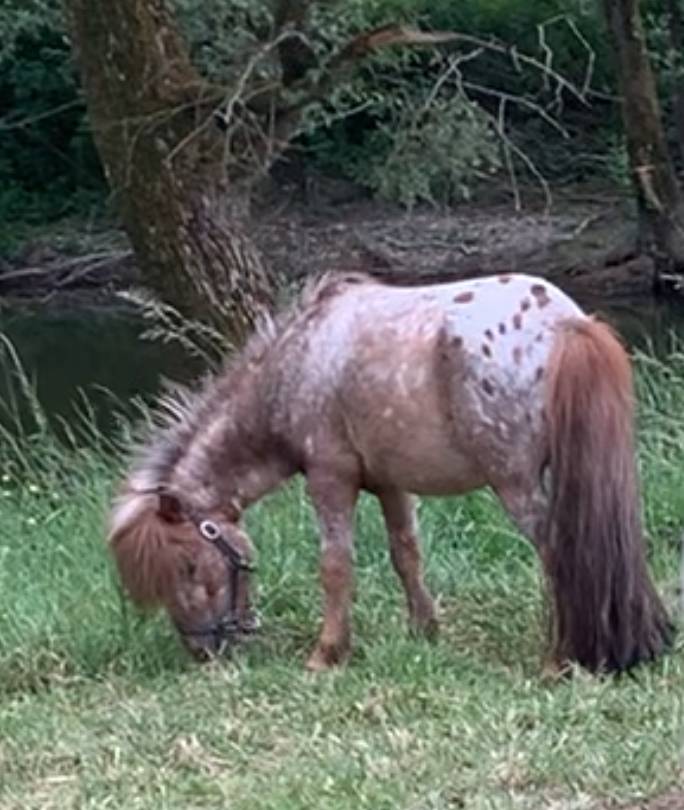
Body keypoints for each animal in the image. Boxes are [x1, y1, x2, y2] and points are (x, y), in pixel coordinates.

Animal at [108, 271, 674, 674]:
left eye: (189, 567)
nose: (203, 652)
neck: (298, 362)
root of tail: (564, 324)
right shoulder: (390, 484)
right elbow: (407, 555)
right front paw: (425, 629)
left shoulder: (330, 479)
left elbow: (336, 566)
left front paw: (328, 653)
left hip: (516, 486)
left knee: (558, 553)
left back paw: (560, 658)